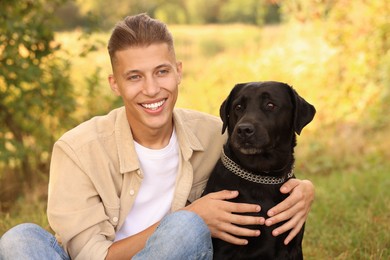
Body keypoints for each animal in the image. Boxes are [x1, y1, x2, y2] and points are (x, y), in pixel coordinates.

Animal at [204, 81, 316, 260]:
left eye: (270, 105)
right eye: (238, 107)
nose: (244, 130)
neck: (263, 175)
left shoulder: (293, 245)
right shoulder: (224, 248)